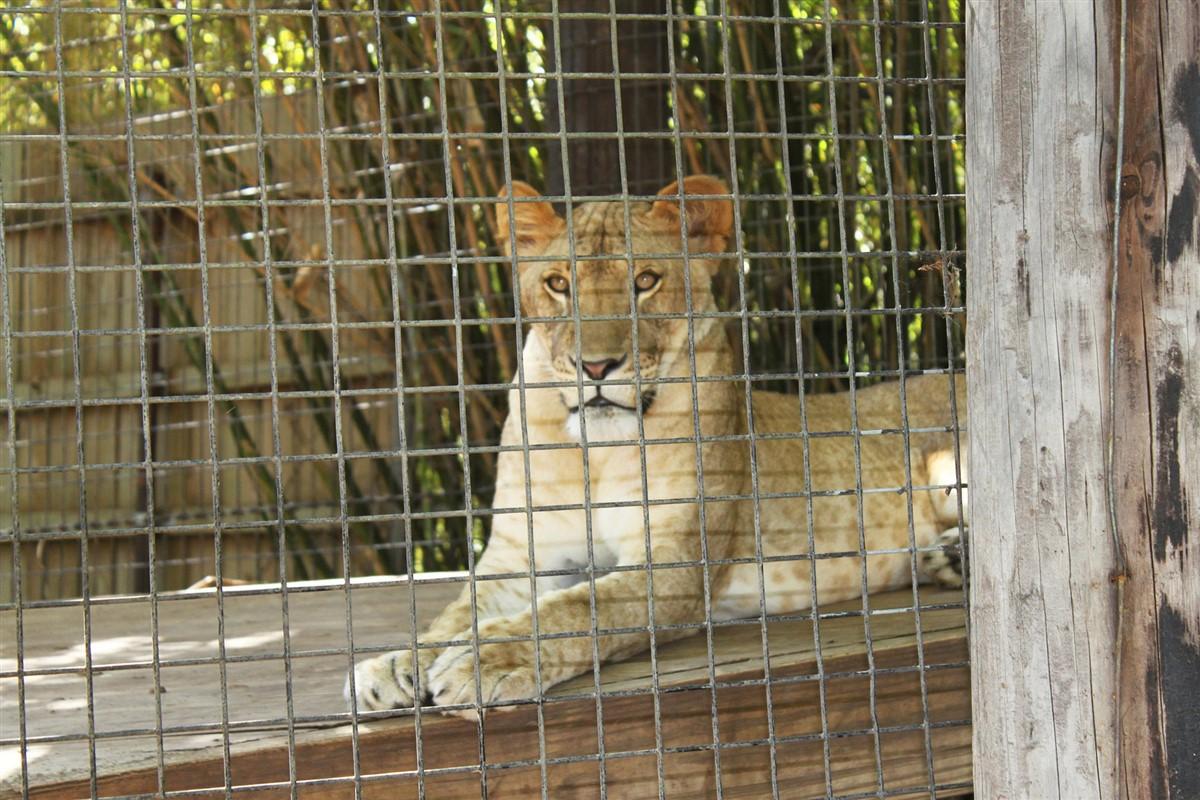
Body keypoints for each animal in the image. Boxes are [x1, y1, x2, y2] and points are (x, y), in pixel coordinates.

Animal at [348, 175, 967, 716]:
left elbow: (579, 608)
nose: (596, 367)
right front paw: (395, 664)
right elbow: (458, 610)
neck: (594, 450)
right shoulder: (520, 555)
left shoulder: (677, 563)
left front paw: (485, 661)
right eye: (558, 284)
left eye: (645, 281)